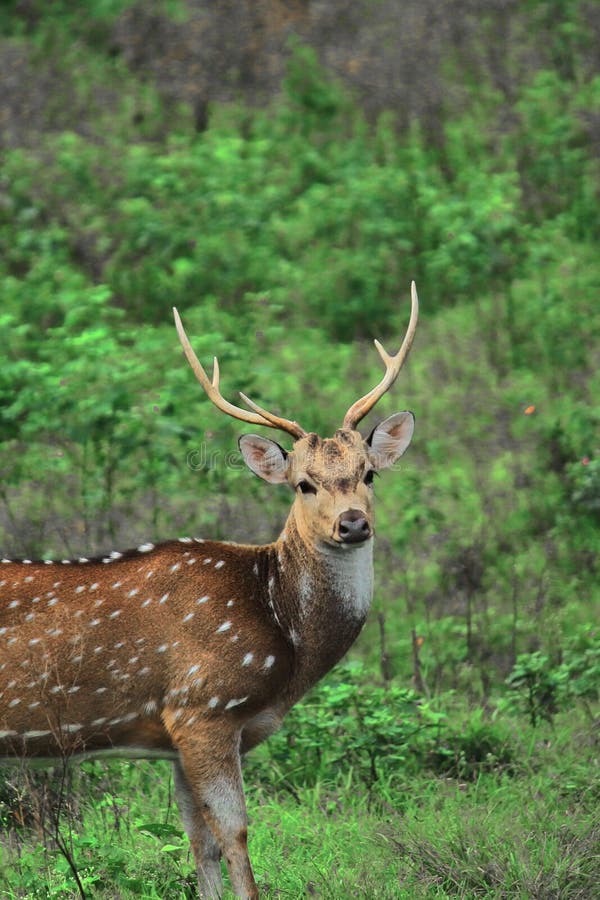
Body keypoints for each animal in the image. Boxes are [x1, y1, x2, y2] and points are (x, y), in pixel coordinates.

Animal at [0, 284, 420, 900]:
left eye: (369, 473)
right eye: (303, 483)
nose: (352, 523)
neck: (284, 639)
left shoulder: (176, 734)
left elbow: (200, 844)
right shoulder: (205, 706)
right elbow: (236, 834)